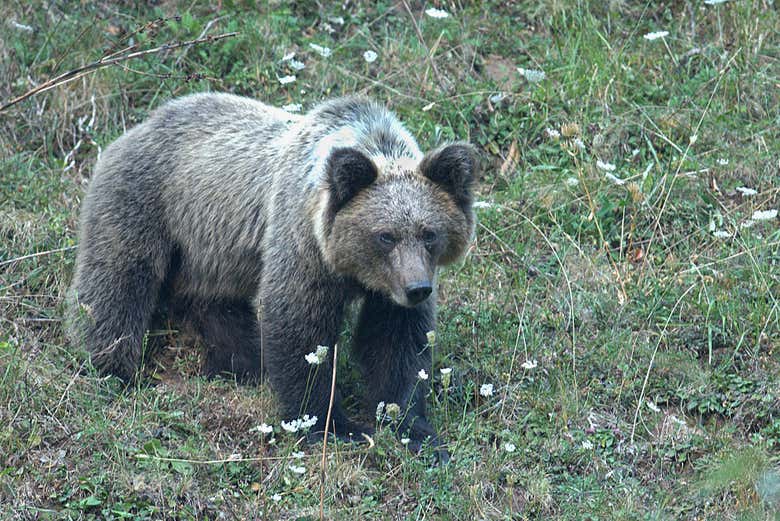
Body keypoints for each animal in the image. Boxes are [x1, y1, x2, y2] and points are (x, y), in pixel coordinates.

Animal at [67, 91, 478, 458]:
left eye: (429, 233)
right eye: (385, 235)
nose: (417, 289)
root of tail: (134, 128)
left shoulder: (388, 290)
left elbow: (397, 343)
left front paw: (415, 430)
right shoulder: (301, 242)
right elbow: (299, 326)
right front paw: (332, 426)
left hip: (212, 251)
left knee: (218, 305)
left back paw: (241, 364)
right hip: (145, 204)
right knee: (117, 281)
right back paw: (113, 367)